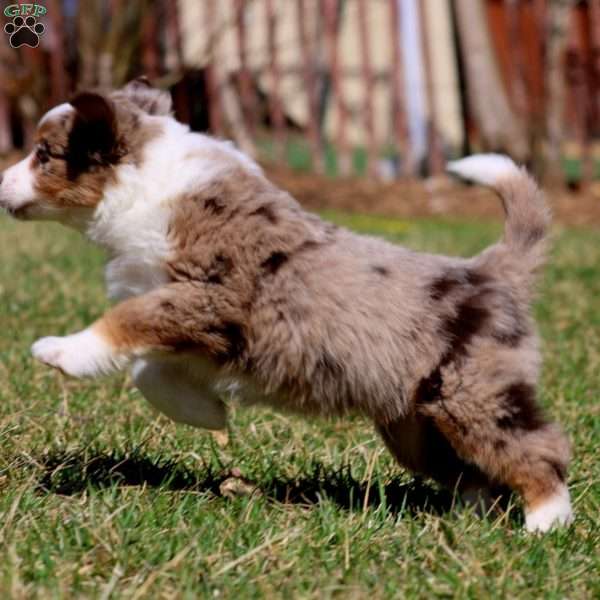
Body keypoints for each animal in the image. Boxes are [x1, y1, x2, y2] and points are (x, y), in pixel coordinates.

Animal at [0, 77, 572, 532]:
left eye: (44, 154)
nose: (0, 182)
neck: (145, 182)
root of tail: (490, 270)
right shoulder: (203, 329)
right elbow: (148, 371)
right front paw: (208, 413)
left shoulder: (207, 298)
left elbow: (124, 321)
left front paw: (62, 351)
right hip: (415, 423)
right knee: (471, 471)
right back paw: (470, 517)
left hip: (473, 395)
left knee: (536, 447)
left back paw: (546, 523)